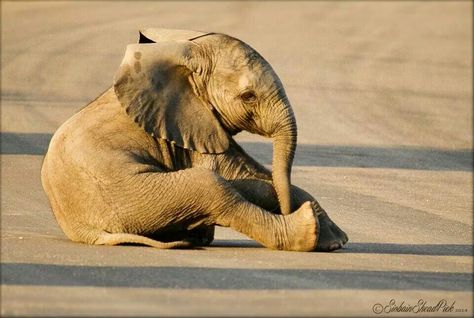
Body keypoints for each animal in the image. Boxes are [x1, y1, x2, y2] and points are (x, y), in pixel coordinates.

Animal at [41, 28, 348, 251]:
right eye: (248, 96)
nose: (288, 210)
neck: (185, 49)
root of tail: (83, 231)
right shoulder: (188, 123)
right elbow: (223, 169)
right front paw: (322, 232)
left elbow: (247, 172)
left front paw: (335, 240)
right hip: (126, 196)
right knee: (210, 187)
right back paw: (306, 230)